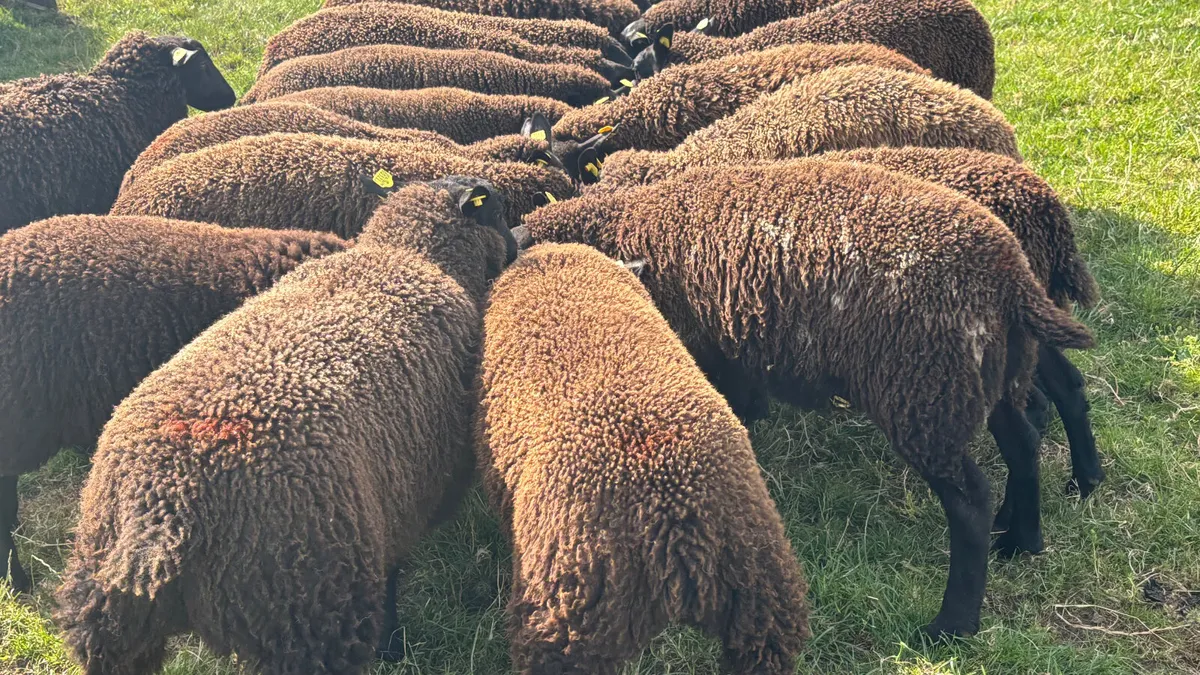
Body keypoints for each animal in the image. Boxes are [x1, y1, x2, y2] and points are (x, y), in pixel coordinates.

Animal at [55, 177, 516, 675]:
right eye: (496, 211)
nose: (520, 243)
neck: (414, 256)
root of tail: (162, 511)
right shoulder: (408, 496)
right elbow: (393, 573)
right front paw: (393, 646)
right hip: (310, 609)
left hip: (108, 622)